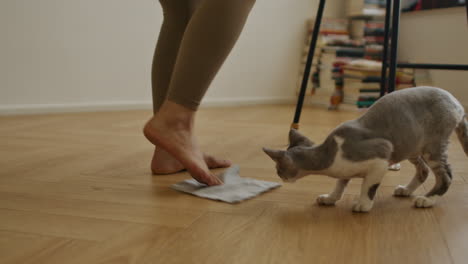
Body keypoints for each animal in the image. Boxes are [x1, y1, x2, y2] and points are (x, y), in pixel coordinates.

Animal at [264, 86, 468, 212]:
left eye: (278, 170)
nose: (280, 176)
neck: (330, 153)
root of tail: (456, 101)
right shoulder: (344, 169)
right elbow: (340, 183)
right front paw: (330, 198)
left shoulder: (382, 157)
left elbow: (368, 186)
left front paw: (363, 204)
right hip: (412, 145)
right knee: (423, 170)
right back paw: (406, 190)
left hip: (432, 147)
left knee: (446, 176)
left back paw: (427, 200)